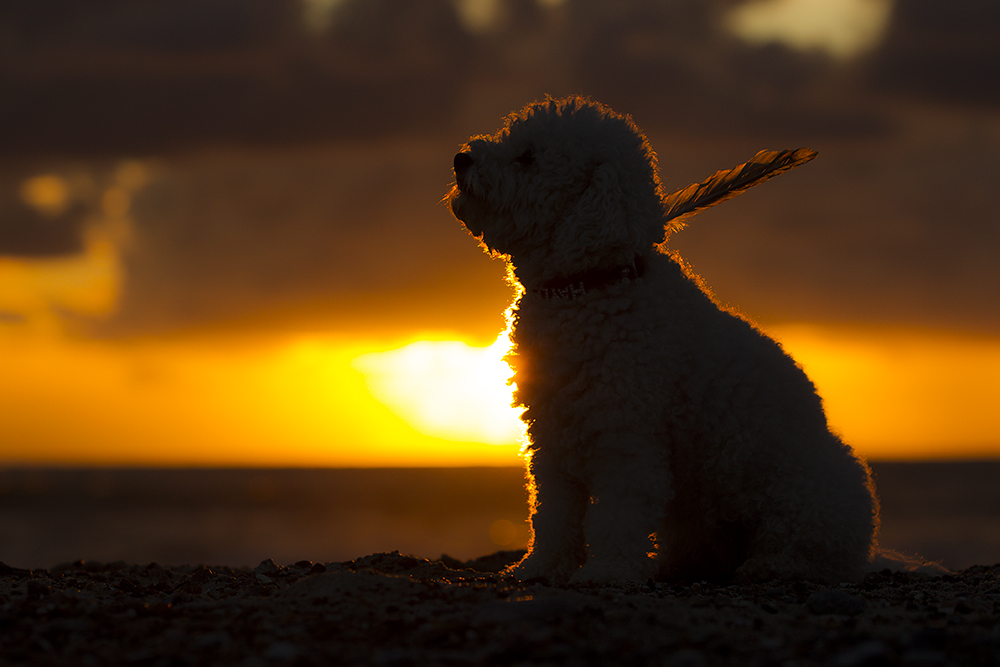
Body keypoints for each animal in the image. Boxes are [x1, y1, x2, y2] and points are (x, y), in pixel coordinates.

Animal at [446, 95, 876, 584]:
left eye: (528, 158)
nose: (461, 159)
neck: (589, 285)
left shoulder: (625, 437)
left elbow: (615, 514)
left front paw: (608, 570)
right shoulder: (552, 435)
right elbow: (553, 512)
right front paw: (541, 567)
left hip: (808, 493)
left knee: (811, 548)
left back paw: (774, 564)